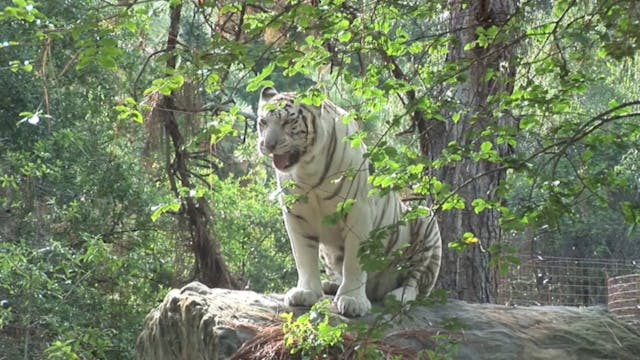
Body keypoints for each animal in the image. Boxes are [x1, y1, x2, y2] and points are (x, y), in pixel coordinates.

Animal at [255, 87, 440, 318]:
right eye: (263, 122)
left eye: (288, 122)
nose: (268, 145)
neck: (307, 169)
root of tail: (378, 289)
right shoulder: (296, 214)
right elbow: (303, 256)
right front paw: (306, 292)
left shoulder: (358, 211)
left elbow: (354, 262)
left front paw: (353, 300)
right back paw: (330, 285)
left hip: (427, 221)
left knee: (416, 279)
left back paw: (398, 296)